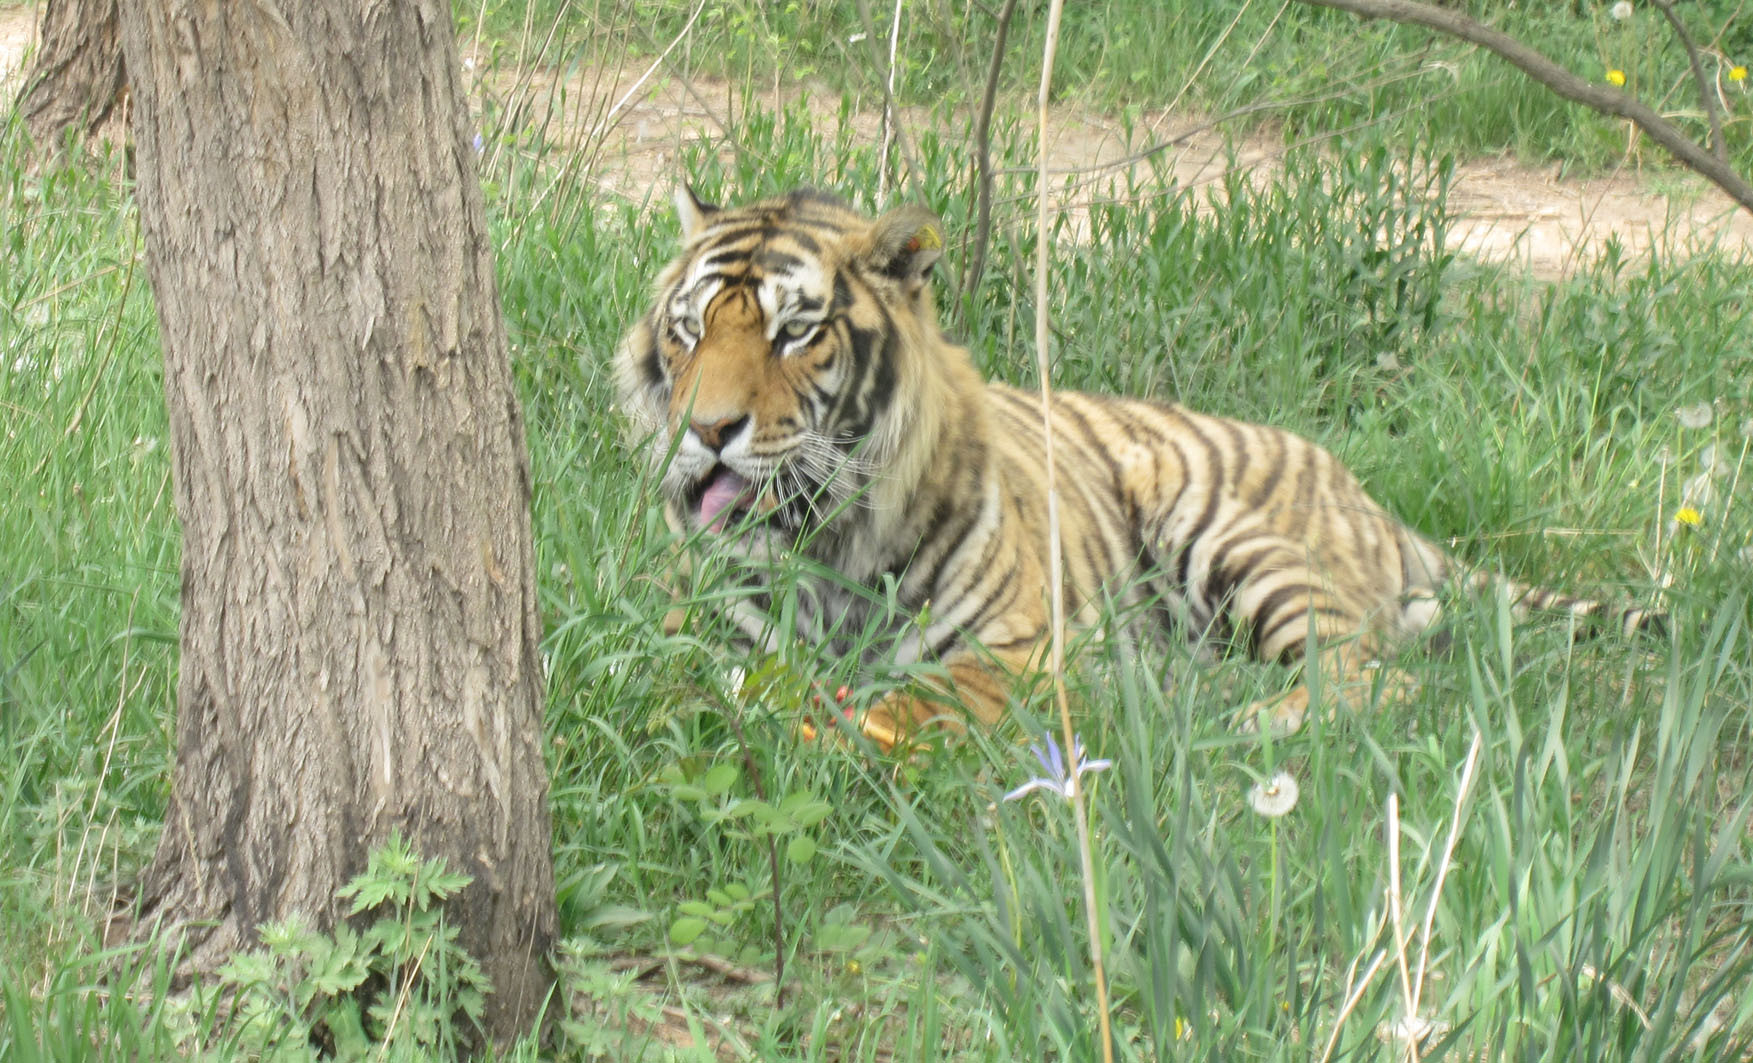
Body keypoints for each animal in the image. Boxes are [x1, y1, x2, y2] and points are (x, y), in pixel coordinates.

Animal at [613, 185, 1654, 750]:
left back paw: (1240, 720)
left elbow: (912, 698)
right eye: (691, 327)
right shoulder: (691, 628)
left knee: (1371, 673)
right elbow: (662, 684)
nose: (707, 430)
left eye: (794, 332)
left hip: (1221, 527)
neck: (820, 539)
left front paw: (838, 727)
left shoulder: (1012, 647)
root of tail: (1369, 496)